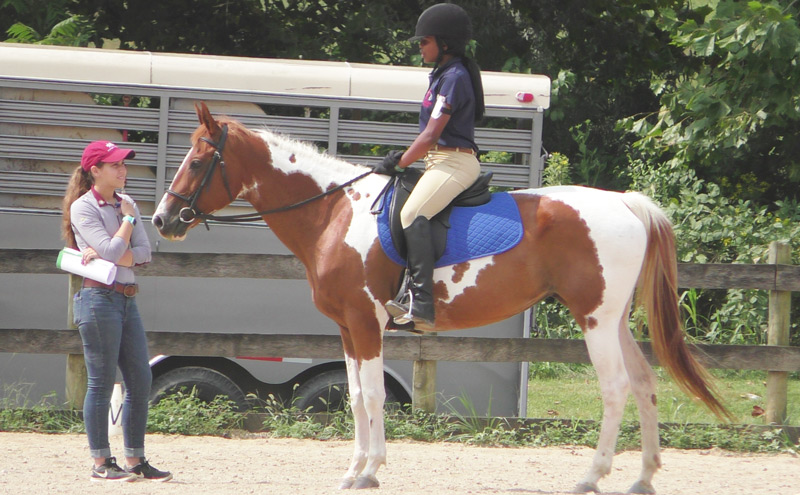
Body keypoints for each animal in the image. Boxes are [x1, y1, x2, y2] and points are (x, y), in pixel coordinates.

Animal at [153, 102, 728, 494]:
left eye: (198, 160)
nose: (161, 220)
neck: (335, 211)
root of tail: (626, 204)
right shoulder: (347, 327)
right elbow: (356, 396)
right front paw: (354, 469)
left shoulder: (366, 322)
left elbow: (373, 395)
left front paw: (369, 470)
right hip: (614, 321)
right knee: (645, 383)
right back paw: (643, 477)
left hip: (595, 320)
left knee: (615, 390)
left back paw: (591, 477)